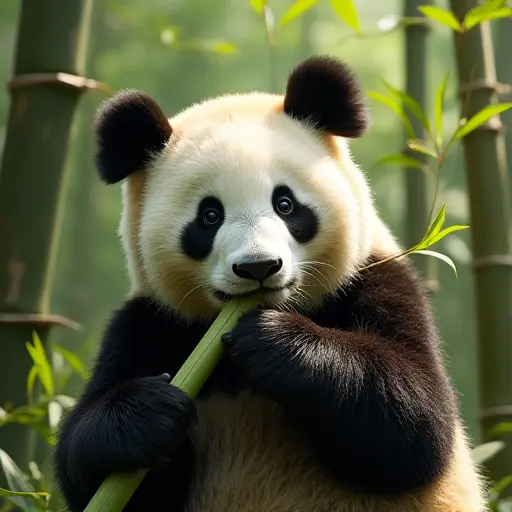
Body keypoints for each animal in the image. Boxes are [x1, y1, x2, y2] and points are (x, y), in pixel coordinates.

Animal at [54, 56, 486, 512]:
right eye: (209, 216)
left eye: (286, 204)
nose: (258, 267)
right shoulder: (152, 323)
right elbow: (88, 469)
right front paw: (151, 412)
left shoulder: (376, 278)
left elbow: (415, 423)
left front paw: (274, 343)